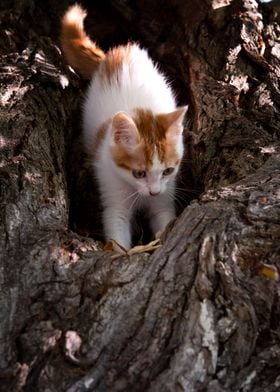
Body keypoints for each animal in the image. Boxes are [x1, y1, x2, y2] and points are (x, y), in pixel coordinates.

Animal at [61, 3, 188, 251]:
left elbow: (164, 216)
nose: (153, 191)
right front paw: (120, 251)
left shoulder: (165, 195)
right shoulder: (111, 189)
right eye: (139, 173)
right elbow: (117, 227)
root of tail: (120, 51)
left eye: (168, 170)